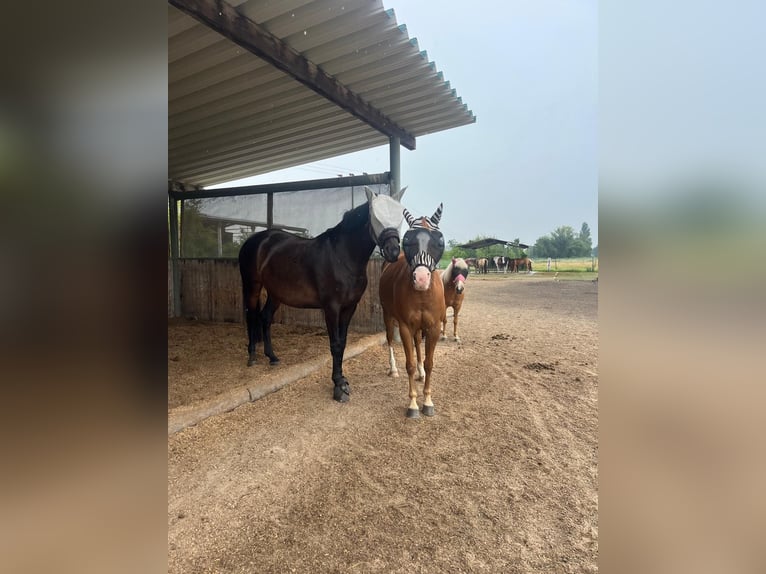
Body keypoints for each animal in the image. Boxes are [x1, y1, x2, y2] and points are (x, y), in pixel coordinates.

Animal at [240, 187, 408, 402]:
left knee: (265, 317)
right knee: (252, 316)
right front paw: (338, 386)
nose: (393, 251)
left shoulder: (349, 307)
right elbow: (335, 344)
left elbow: (342, 343)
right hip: (252, 286)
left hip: (275, 293)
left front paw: (342, 380)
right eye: (375, 217)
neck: (342, 256)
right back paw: (252, 356)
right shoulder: (331, 308)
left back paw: (272, 357)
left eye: (399, 216)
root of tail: (254, 241)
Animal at [380, 202, 448, 418]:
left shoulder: (433, 327)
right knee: (390, 339)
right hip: (387, 315)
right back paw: (393, 369)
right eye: (407, 240)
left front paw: (428, 401)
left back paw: (421, 373)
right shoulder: (404, 326)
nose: (421, 279)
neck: (422, 295)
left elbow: (429, 362)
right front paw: (413, 405)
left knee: (418, 342)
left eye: (439, 240)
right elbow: (408, 364)